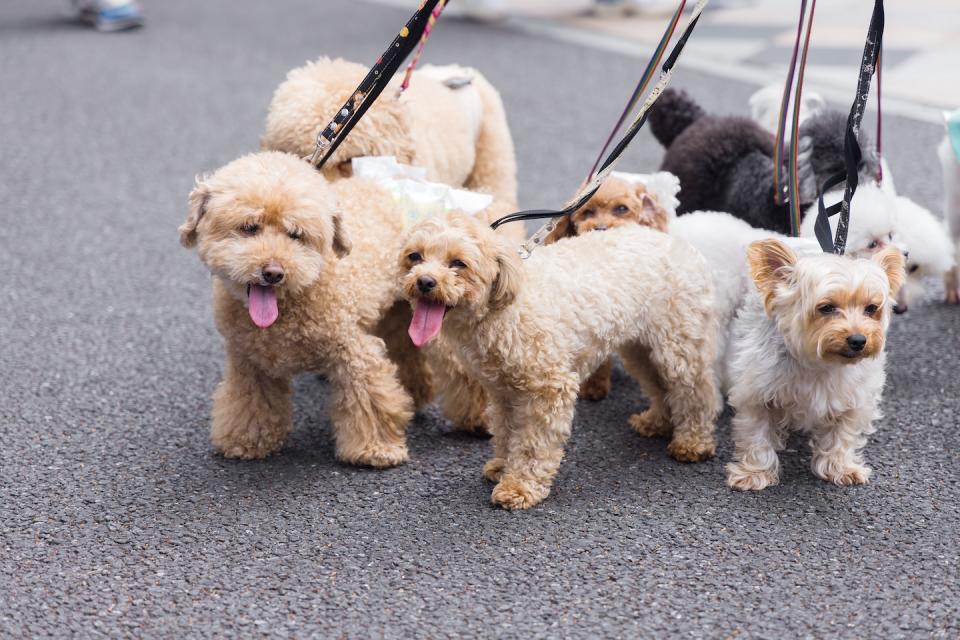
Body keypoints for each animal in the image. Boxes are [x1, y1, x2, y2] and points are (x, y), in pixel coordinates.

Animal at [398, 214, 720, 510]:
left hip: (679, 344)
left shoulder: (549, 388)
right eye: (414, 256)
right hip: (641, 347)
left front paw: (519, 486)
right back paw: (656, 422)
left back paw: (693, 443)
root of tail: (678, 243)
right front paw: (503, 466)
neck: (504, 310)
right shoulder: (503, 392)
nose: (425, 281)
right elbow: (506, 431)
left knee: (697, 391)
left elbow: (532, 443)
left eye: (458, 263)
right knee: (659, 384)